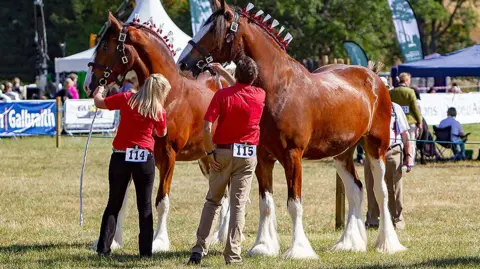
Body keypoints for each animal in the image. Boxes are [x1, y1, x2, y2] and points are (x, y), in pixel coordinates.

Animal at [86, 12, 231, 251]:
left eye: (106, 47)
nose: (89, 84)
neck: (169, 96)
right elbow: (122, 200)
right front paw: (114, 241)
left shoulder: (168, 157)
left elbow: (162, 201)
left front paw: (159, 241)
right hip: (207, 160)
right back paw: (216, 236)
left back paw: (222, 235)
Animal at [178, 0, 406, 258]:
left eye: (213, 31)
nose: (183, 63)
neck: (279, 89)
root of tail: (375, 77)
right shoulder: (262, 157)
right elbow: (265, 202)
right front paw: (263, 246)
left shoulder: (292, 156)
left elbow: (294, 204)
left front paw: (298, 250)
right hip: (342, 153)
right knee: (355, 190)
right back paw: (348, 243)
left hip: (376, 146)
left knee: (381, 190)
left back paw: (387, 244)